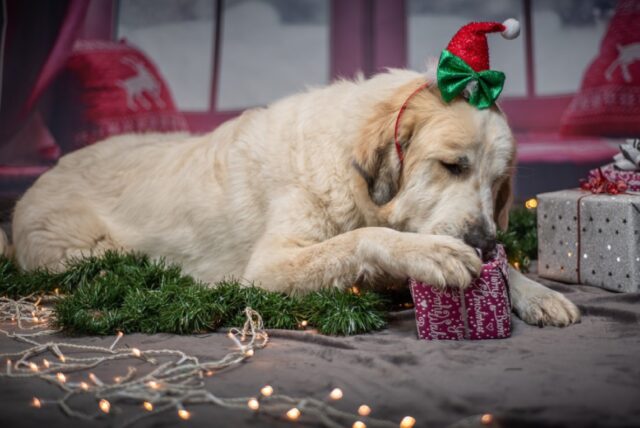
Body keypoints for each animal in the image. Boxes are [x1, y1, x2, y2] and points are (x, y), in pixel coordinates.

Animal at [1, 68, 580, 326]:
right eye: (452, 165)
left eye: (497, 185)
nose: (482, 243)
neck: (354, 176)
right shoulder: (269, 268)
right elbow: (364, 238)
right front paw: (431, 254)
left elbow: (503, 267)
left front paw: (533, 290)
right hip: (84, 252)